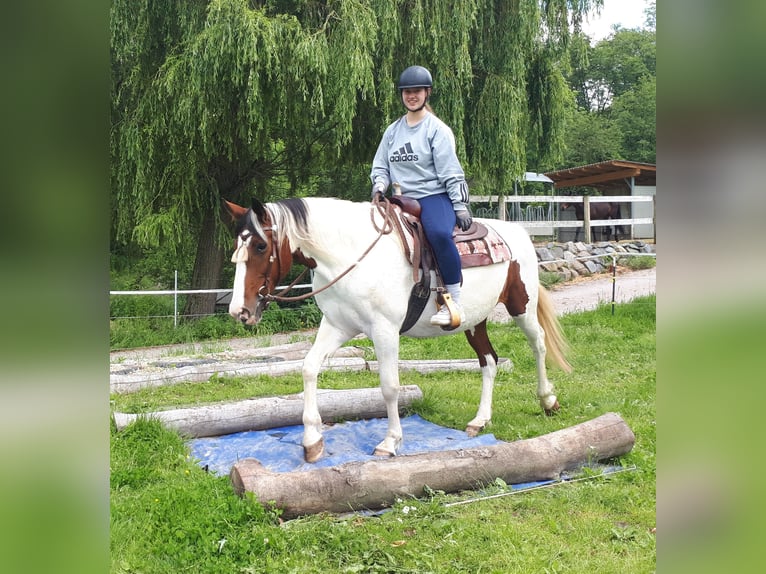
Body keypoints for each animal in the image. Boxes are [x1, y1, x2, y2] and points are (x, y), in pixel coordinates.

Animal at [225, 198, 572, 464]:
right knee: (489, 361)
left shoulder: (385, 330)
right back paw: (479, 420)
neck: (351, 257)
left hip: (521, 305)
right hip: (475, 320)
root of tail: (517, 232)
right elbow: (309, 368)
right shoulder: (337, 326)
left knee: (538, 344)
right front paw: (312, 441)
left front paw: (390, 442)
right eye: (236, 246)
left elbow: (390, 386)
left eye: (260, 245)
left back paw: (548, 400)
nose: (239, 311)